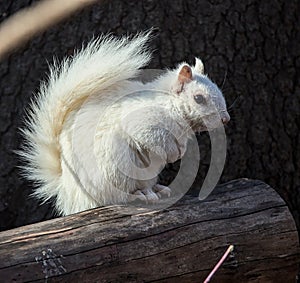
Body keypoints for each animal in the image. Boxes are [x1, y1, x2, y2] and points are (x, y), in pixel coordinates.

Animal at [19, 31, 230, 216]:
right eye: (198, 98)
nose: (225, 119)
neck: (169, 104)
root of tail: (68, 193)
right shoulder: (142, 122)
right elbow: (154, 138)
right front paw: (172, 154)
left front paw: (181, 151)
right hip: (115, 169)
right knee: (115, 198)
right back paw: (139, 194)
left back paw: (157, 189)